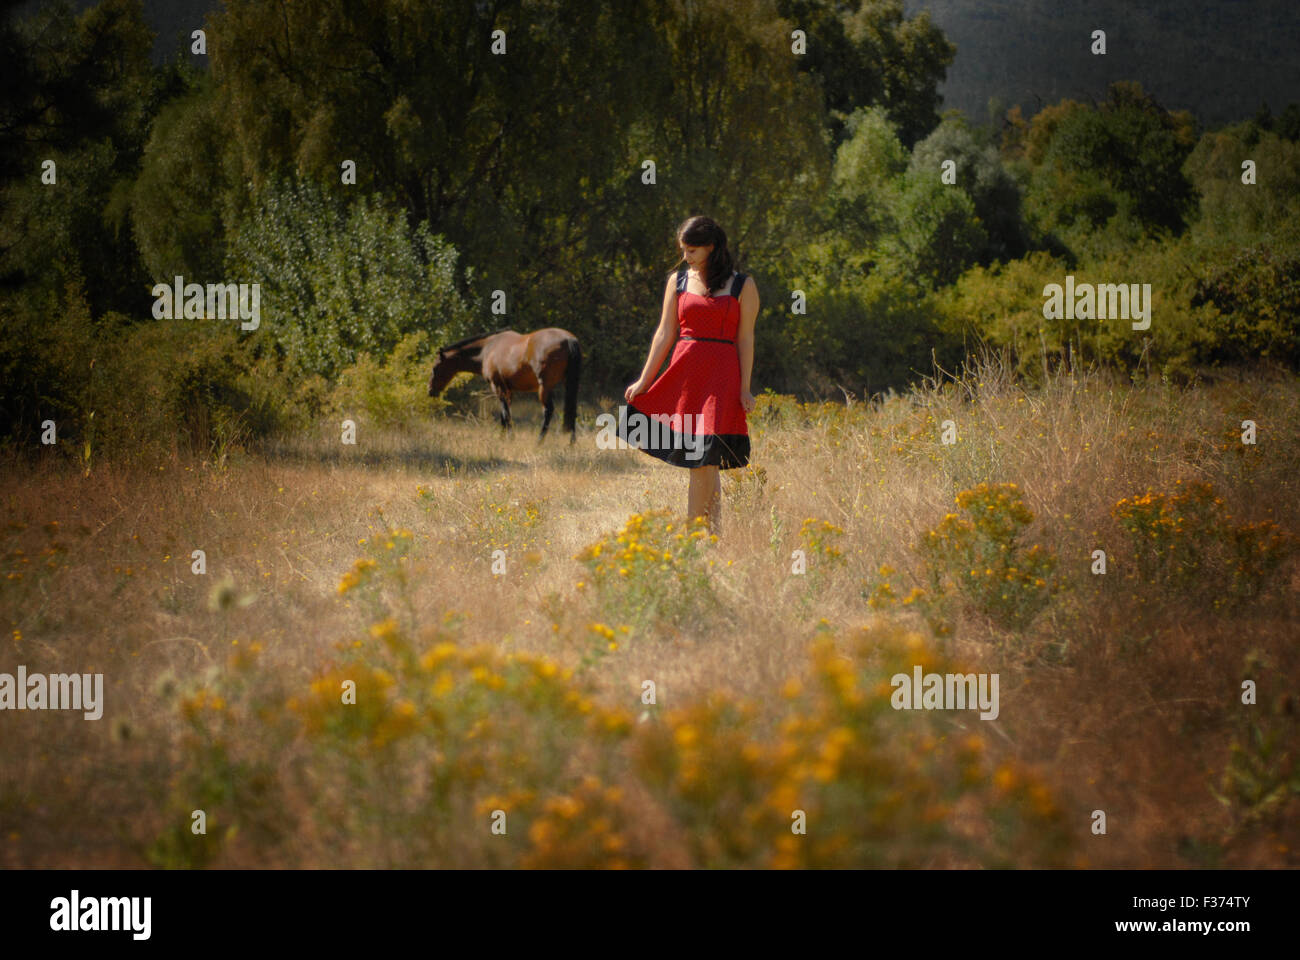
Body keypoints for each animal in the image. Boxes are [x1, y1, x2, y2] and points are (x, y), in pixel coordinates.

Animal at [426, 323, 579, 439]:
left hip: (544, 388)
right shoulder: (508, 390)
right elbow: (504, 413)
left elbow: (505, 413)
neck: (487, 348)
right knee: (572, 410)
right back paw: (571, 443)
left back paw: (539, 441)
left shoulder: (498, 387)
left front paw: (509, 437)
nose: (430, 391)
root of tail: (568, 340)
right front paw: (502, 436)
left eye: (435, 368)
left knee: (548, 411)